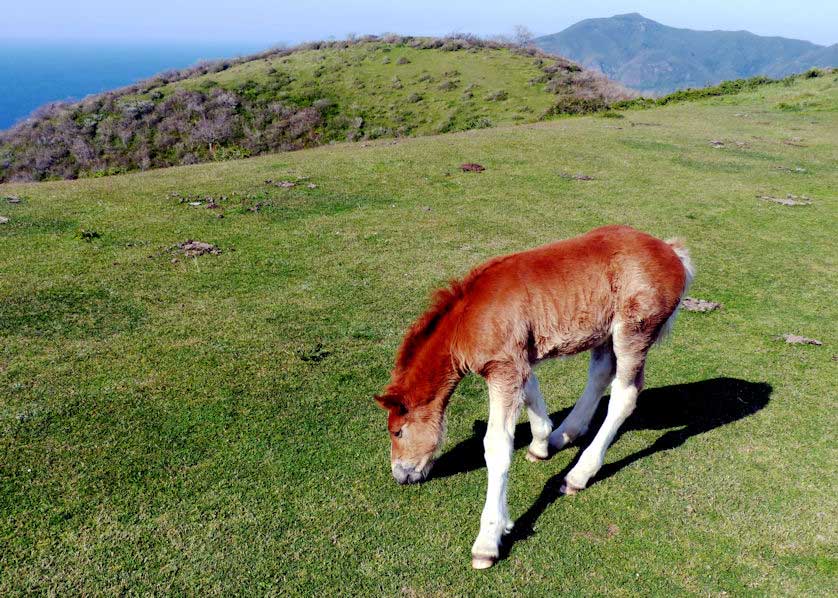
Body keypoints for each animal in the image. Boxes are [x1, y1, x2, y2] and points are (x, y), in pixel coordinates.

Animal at [376, 226, 696, 572]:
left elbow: (497, 447)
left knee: (624, 396)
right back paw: (564, 435)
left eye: (398, 432)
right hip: (604, 331)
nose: (400, 475)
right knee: (600, 374)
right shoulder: (518, 363)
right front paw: (541, 442)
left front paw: (488, 540)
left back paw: (578, 475)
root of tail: (672, 251)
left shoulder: (503, 368)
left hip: (634, 331)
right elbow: (532, 394)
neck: (470, 317)